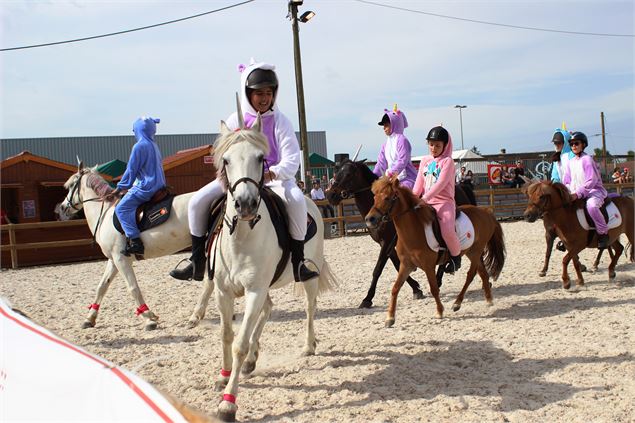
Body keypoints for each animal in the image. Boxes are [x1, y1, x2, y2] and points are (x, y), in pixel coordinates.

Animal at [58, 166, 193, 332]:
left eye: (71, 185)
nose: (62, 207)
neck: (105, 214)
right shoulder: (113, 260)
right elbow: (102, 287)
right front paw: (89, 318)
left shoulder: (121, 259)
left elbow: (133, 288)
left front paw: (149, 318)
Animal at [186, 114, 338, 422]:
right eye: (226, 160)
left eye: (260, 158)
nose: (245, 204)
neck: (242, 236)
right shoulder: (223, 292)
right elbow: (227, 335)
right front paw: (225, 374)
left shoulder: (254, 290)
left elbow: (240, 343)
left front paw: (228, 403)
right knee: (267, 310)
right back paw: (252, 360)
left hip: (307, 278)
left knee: (309, 308)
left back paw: (307, 346)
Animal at [328, 158, 476, 308]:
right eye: (336, 171)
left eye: (348, 174)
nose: (330, 195)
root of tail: (461, 187)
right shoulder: (386, 244)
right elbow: (397, 265)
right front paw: (416, 288)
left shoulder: (387, 242)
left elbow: (378, 269)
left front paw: (367, 298)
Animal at [362, 175, 506, 324]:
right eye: (374, 198)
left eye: (387, 198)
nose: (369, 219)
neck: (413, 231)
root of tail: (486, 212)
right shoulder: (406, 265)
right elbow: (395, 288)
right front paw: (390, 317)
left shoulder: (428, 266)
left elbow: (434, 288)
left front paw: (439, 312)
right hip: (472, 252)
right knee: (482, 273)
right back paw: (488, 299)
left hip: (476, 251)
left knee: (470, 275)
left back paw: (457, 303)